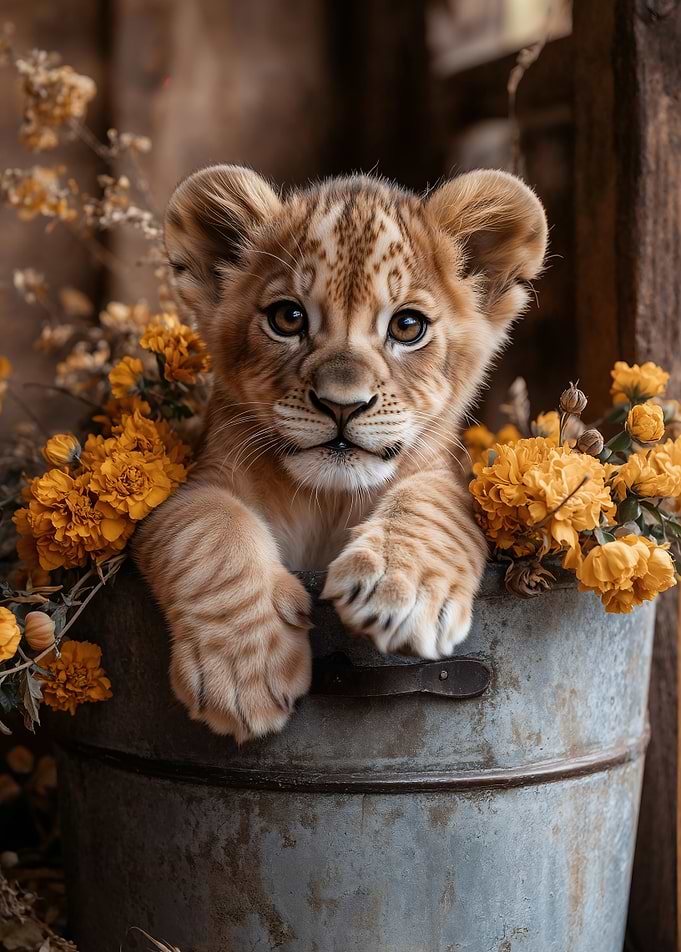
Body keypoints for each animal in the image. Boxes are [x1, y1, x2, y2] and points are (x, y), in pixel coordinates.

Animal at [134, 165, 548, 742]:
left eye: (407, 326)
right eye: (287, 318)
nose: (341, 405)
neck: (326, 501)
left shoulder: (454, 477)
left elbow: (434, 502)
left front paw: (400, 591)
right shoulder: (187, 488)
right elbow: (209, 529)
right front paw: (244, 670)